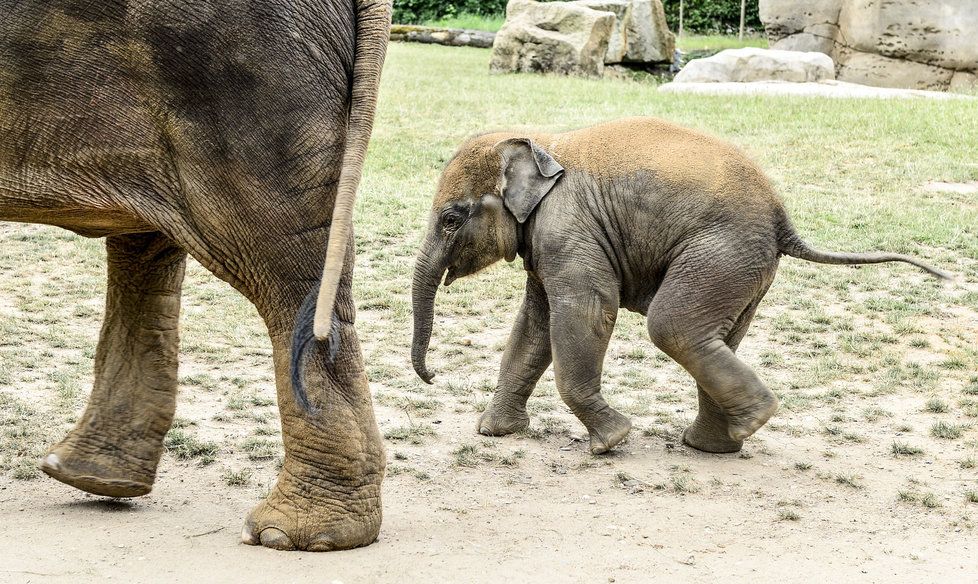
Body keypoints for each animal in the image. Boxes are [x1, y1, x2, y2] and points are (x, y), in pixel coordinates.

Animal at [410, 117, 944, 456]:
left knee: (674, 327)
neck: (539, 140)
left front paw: (612, 442)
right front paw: (494, 433)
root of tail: (781, 218)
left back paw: (751, 420)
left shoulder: (567, 230)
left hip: (720, 253)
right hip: (740, 268)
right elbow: (535, 325)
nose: (432, 376)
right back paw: (716, 443)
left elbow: (586, 310)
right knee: (714, 335)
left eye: (451, 219)